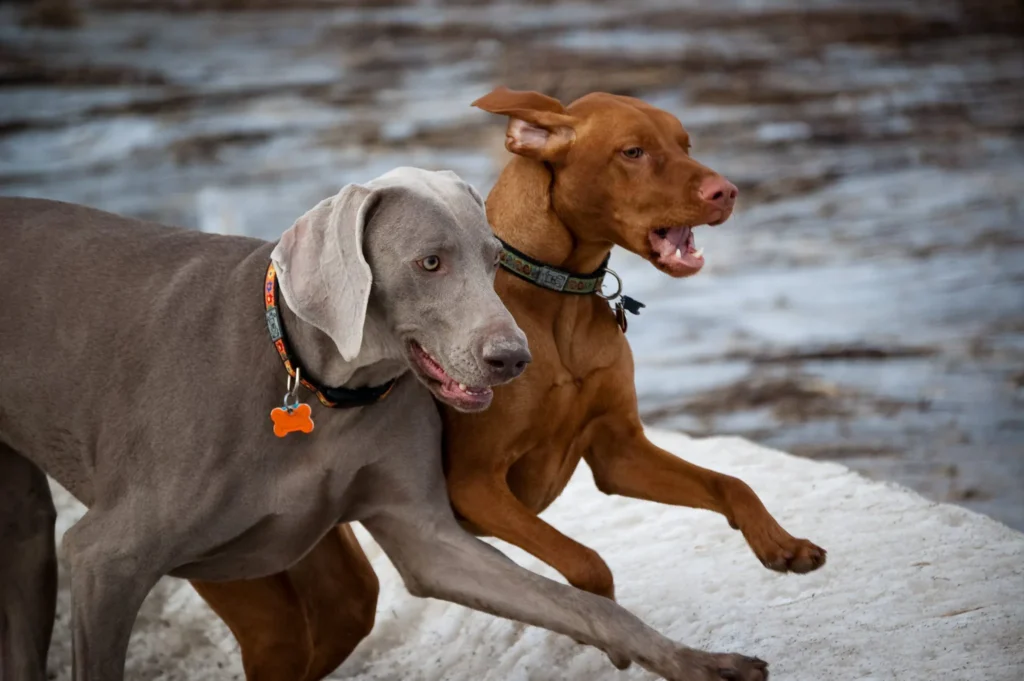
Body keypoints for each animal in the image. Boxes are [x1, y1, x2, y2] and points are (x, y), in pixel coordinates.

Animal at [0, 165, 765, 679]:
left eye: (495, 260)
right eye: (429, 262)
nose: (513, 359)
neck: (321, 393)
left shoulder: (429, 537)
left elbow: (576, 600)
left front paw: (693, 659)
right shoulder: (106, 558)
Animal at [190, 87, 823, 675]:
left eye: (685, 144)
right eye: (633, 152)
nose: (726, 191)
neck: (558, 301)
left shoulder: (618, 453)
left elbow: (731, 484)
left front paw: (782, 545)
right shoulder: (476, 485)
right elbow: (588, 562)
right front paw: (611, 637)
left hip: (332, 584)